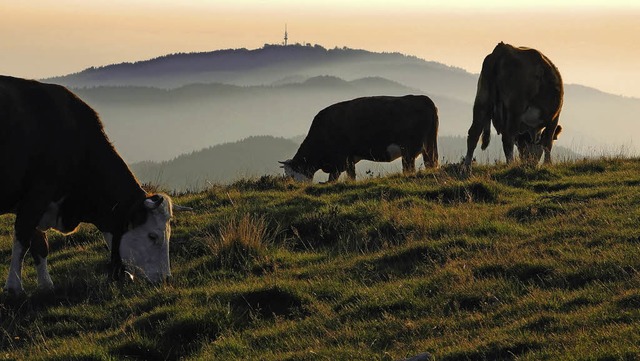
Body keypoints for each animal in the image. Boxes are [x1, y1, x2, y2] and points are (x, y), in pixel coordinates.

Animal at [0, 74, 178, 294]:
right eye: (152, 236)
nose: (166, 278)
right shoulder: (36, 196)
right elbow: (22, 240)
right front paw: (13, 287)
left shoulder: (39, 203)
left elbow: (40, 244)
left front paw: (46, 285)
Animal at [282, 94, 440, 181]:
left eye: (292, 175)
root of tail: (424, 99)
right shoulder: (348, 158)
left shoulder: (343, 158)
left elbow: (341, 177)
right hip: (429, 147)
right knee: (430, 163)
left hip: (409, 150)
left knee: (409, 168)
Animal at [462, 41, 564, 171]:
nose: (529, 163)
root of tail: (503, 48)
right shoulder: (555, 118)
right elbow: (548, 142)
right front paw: (548, 164)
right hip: (515, 108)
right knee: (507, 137)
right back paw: (510, 164)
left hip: (482, 100)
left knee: (473, 133)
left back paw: (466, 167)